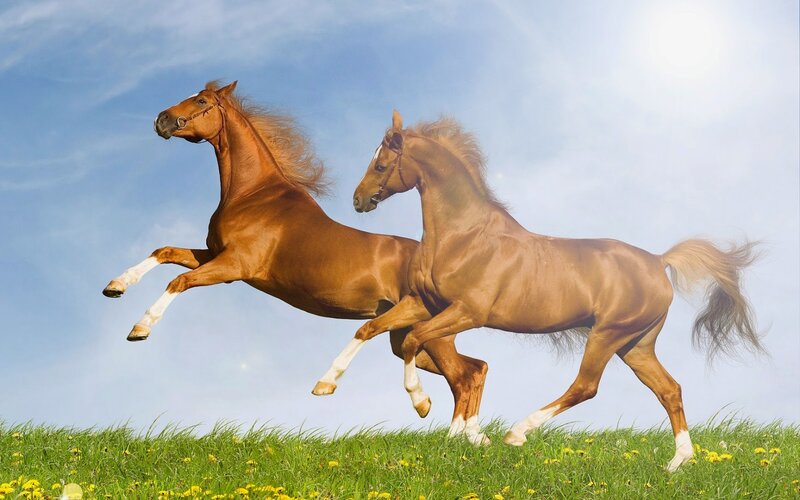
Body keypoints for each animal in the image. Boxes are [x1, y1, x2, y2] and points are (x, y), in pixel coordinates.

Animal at [102, 82, 490, 440]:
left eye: (201, 101)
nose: (162, 119)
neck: (253, 195)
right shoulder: (213, 255)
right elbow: (164, 252)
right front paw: (115, 286)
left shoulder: (233, 267)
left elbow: (178, 281)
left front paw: (140, 328)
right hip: (408, 335)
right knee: (475, 368)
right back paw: (470, 437)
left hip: (428, 334)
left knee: (464, 376)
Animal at [318, 110, 764, 471]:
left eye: (380, 164)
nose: (358, 200)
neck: (464, 236)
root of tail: (658, 261)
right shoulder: (424, 303)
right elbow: (369, 329)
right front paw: (325, 384)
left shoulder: (468, 312)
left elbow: (414, 341)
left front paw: (425, 406)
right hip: (636, 344)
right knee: (669, 390)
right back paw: (678, 463)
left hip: (608, 334)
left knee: (586, 386)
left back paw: (517, 432)